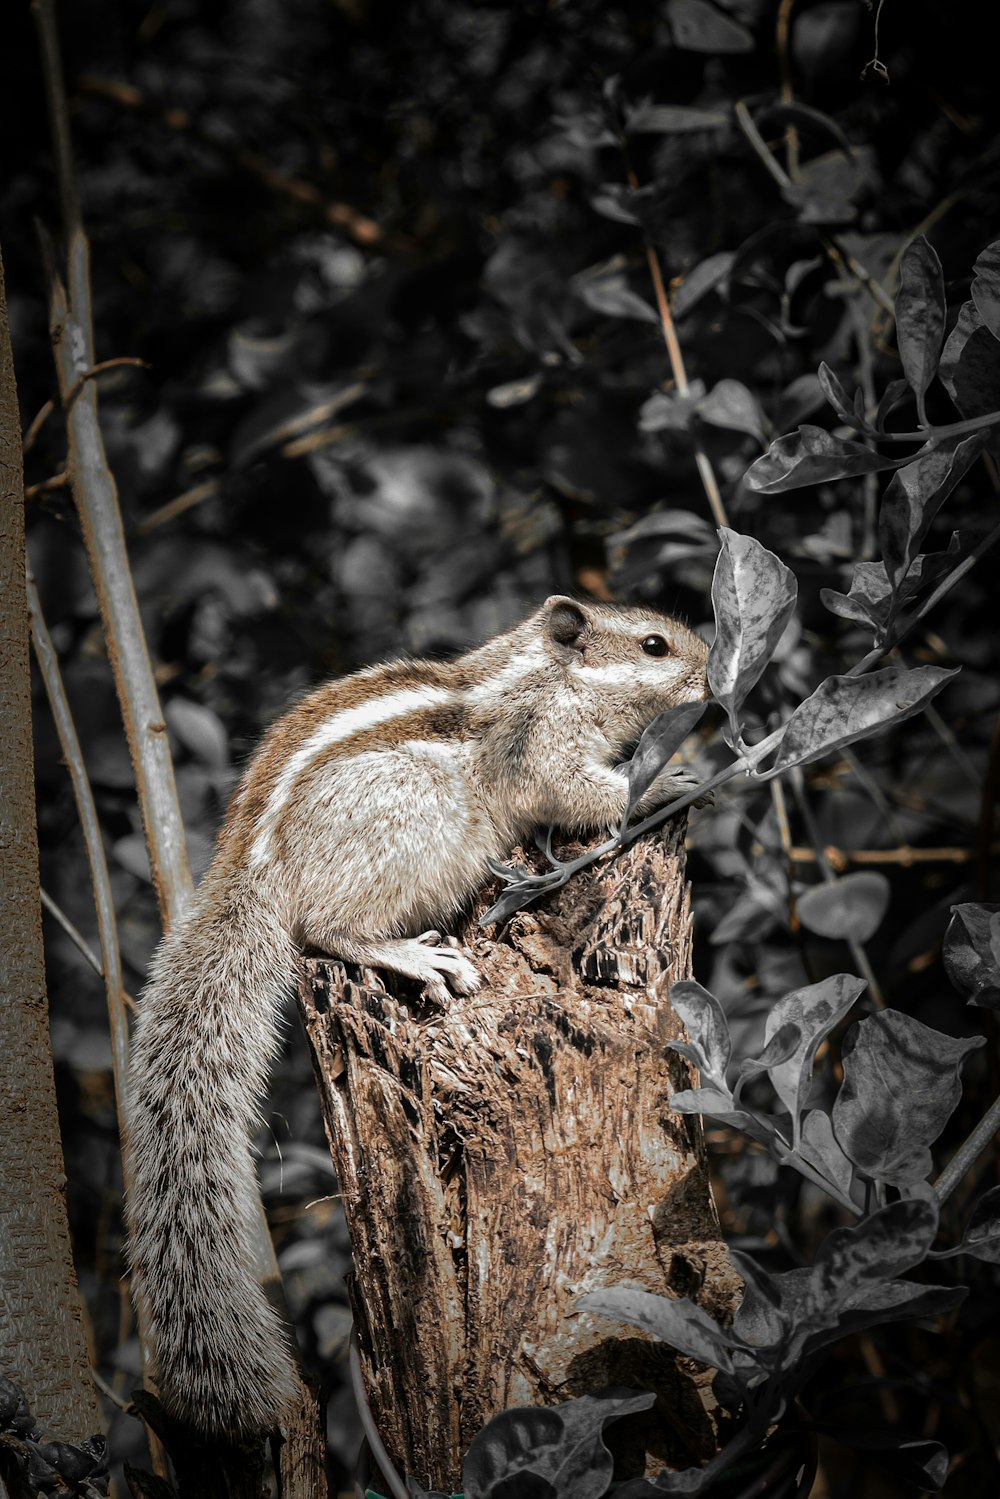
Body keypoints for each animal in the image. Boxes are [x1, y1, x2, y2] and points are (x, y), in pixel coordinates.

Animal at [122, 590, 710, 1433]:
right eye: (655, 645)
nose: (709, 675)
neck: (550, 676)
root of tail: (251, 872)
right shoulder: (546, 752)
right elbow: (587, 793)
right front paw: (665, 784)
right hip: (408, 833)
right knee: (327, 931)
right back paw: (416, 956)